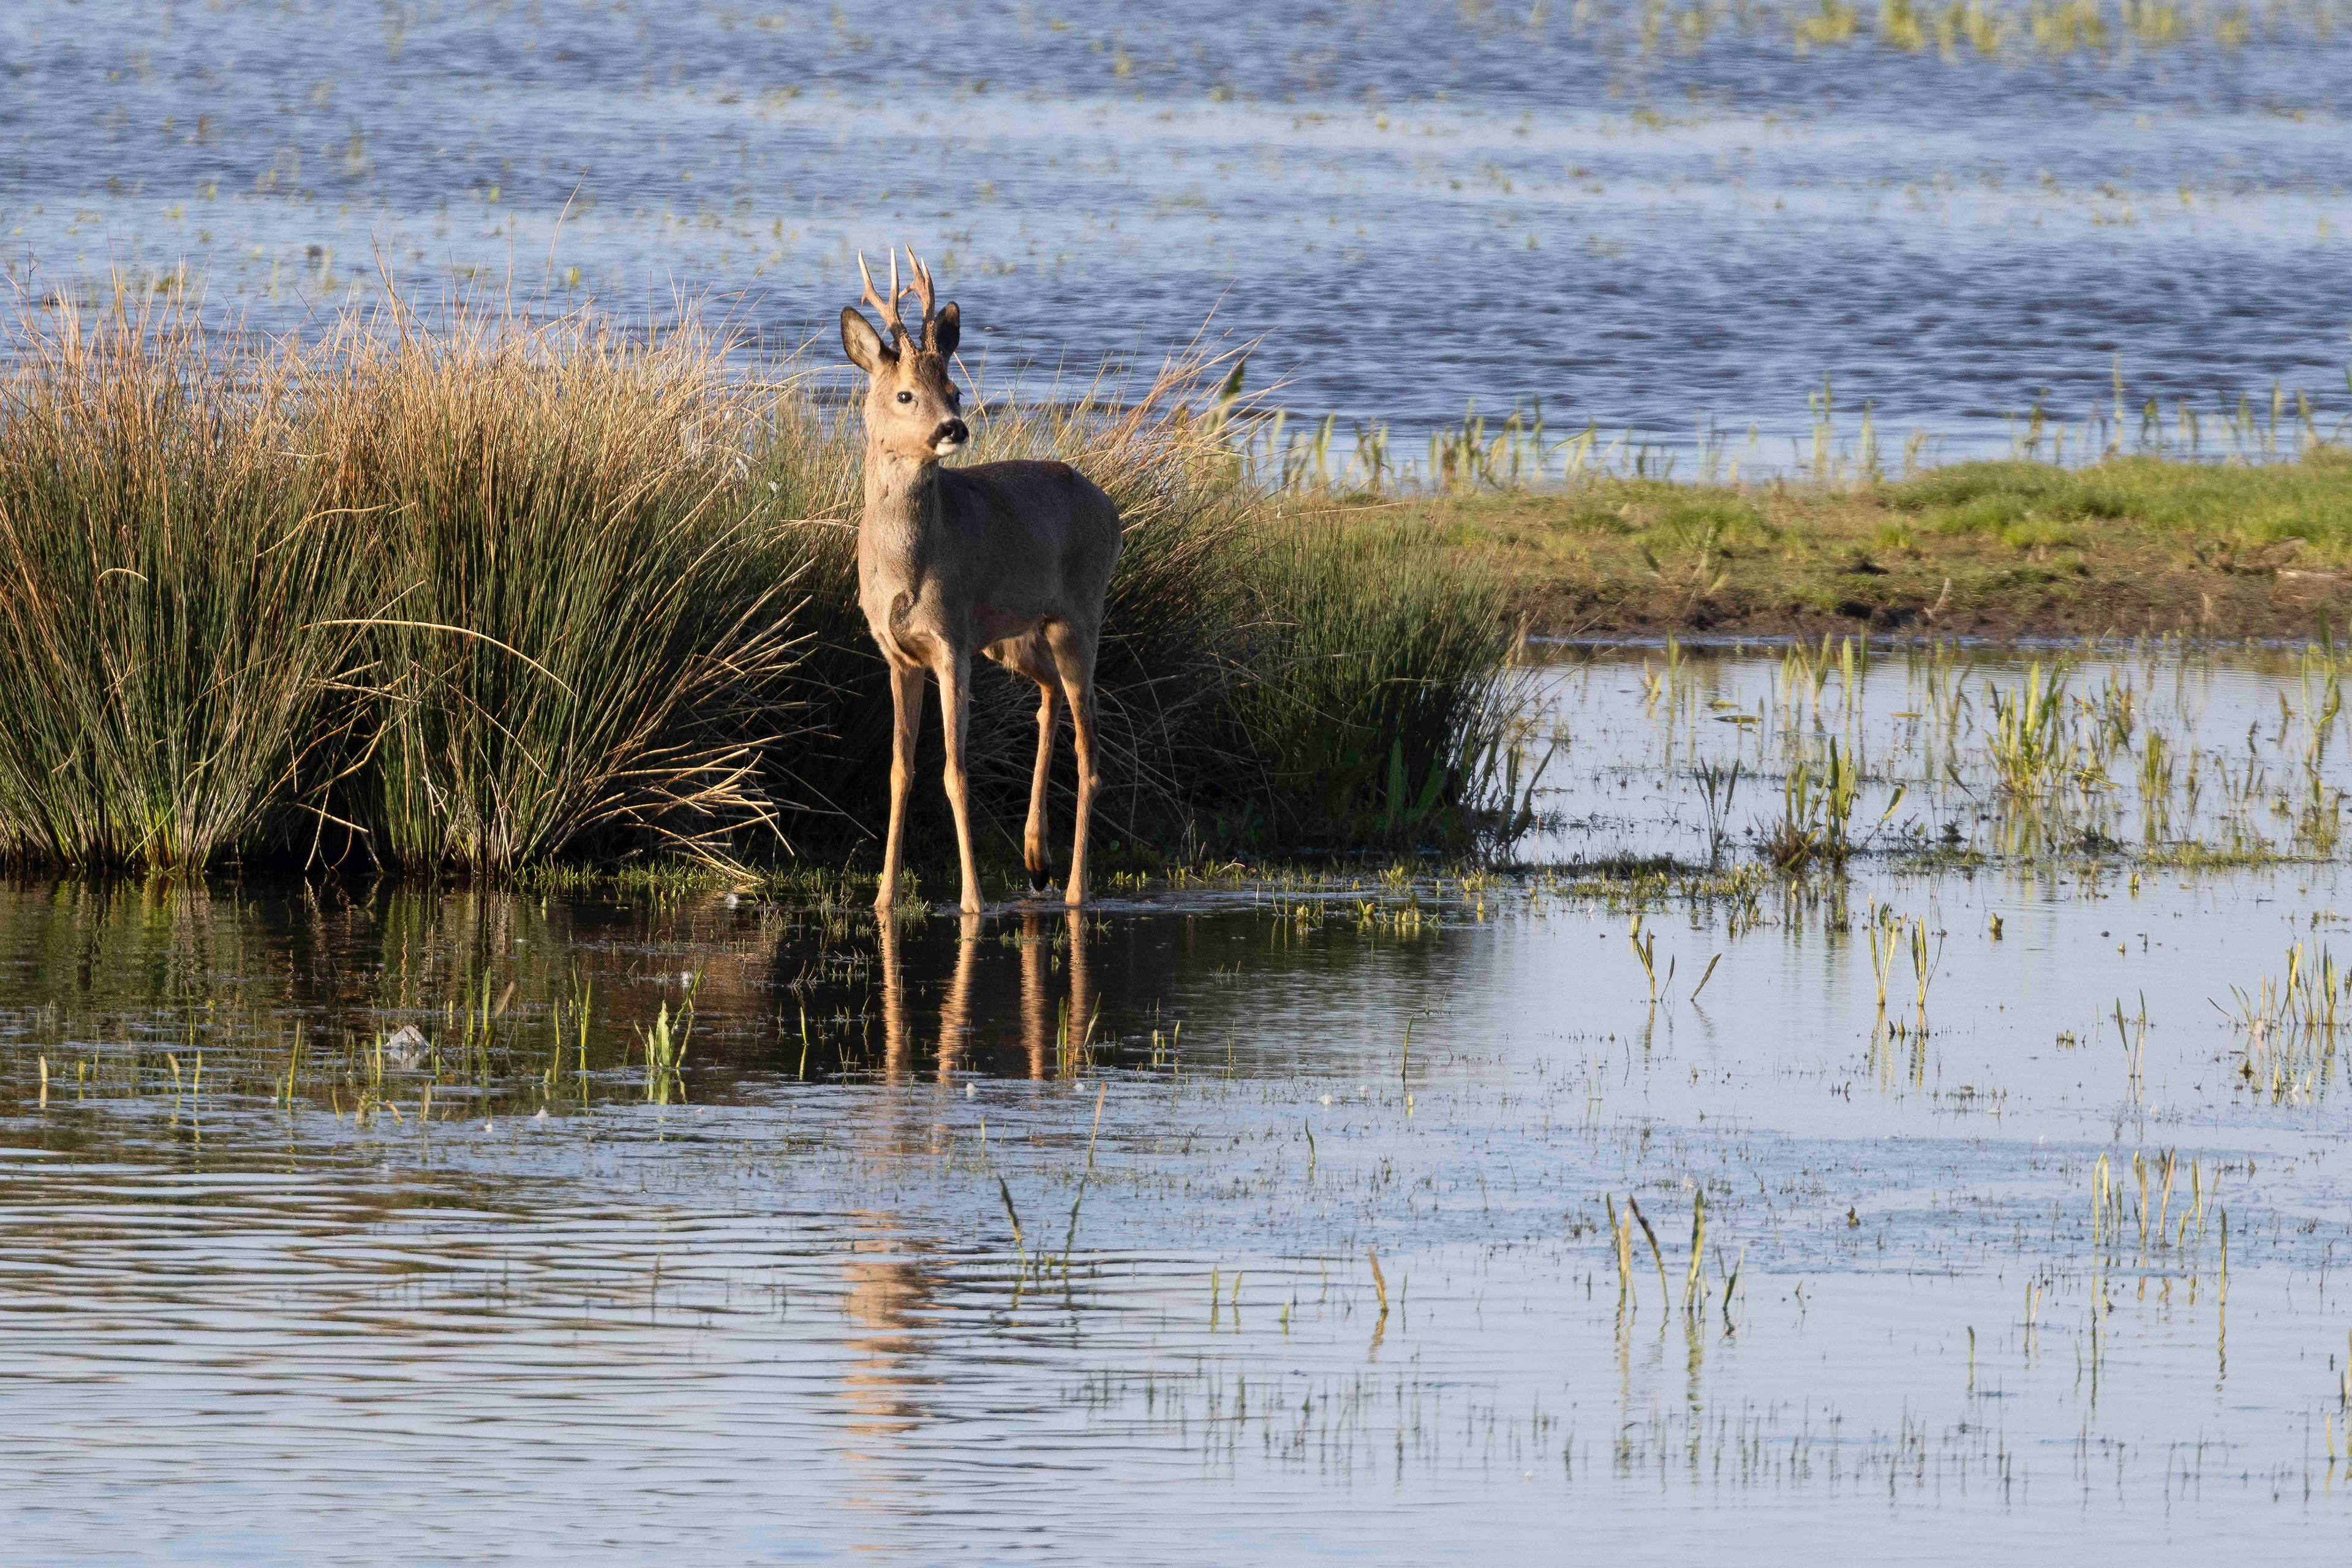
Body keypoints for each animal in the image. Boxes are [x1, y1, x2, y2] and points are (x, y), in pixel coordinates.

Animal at [839, 250, 1123, 915]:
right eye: (906, 394)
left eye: (954, 388)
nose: (955, 427)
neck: (906, 568)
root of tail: (1110, 507)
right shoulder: (897, 652)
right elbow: (900, 769)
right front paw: (884, 896)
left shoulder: (950, 641)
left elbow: (955, 770)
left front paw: (971, 899)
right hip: (1012, 636)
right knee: (1050, 697)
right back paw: (1035, 856)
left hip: (1079, 614)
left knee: (1090, 747)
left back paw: (1074, 888)